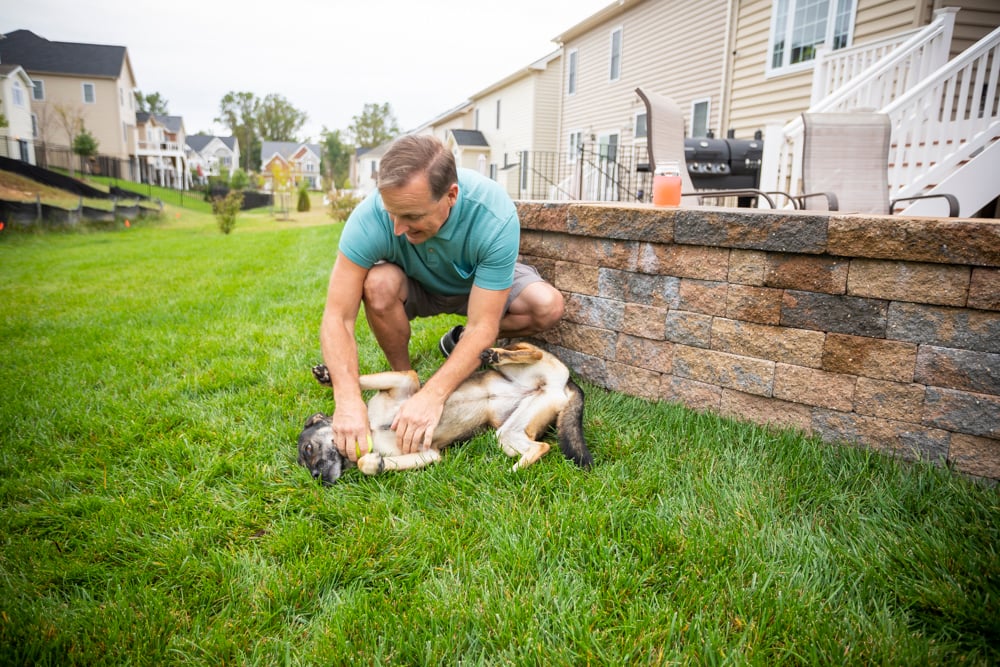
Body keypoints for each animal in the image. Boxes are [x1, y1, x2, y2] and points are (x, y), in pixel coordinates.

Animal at [300, 344, 588, 486]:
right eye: (303, 462)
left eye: (308, 448)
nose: (316, 479)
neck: (372, 427)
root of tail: (564, 386)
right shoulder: (429, 454)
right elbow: (371, 463)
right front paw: (373, 464)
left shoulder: (404, 381)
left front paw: (327, 377)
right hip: (508, 431)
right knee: (541, 446)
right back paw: (516, 468)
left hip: (535, 365)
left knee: (533, 351)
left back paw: (497, 354)